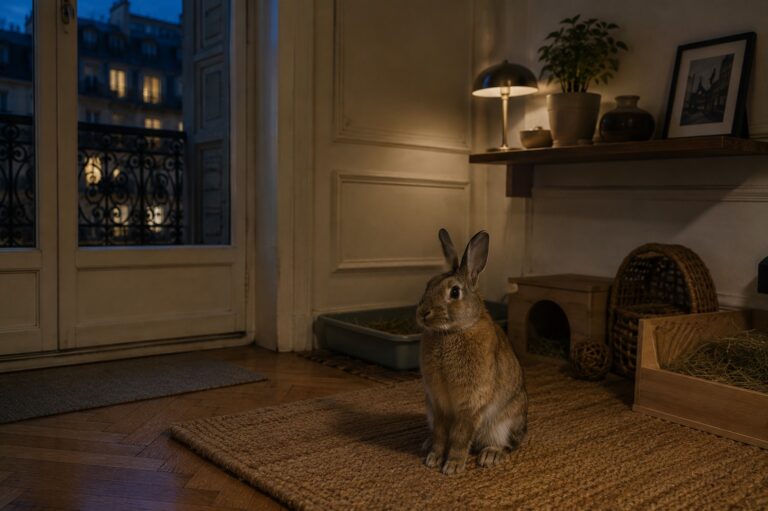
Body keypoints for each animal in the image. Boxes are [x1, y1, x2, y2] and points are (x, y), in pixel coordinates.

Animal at [417, 228, 527, 475]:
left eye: (454, 292)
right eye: (428, 284)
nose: (423, 313)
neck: (450, 333)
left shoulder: (471, 403)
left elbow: (460, 436)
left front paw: (452, 466)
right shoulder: (437, 403)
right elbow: (441, 433)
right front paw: (434, 458)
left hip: (503, 423)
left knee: (505, 444)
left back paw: (490, 455)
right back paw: (426, 444)